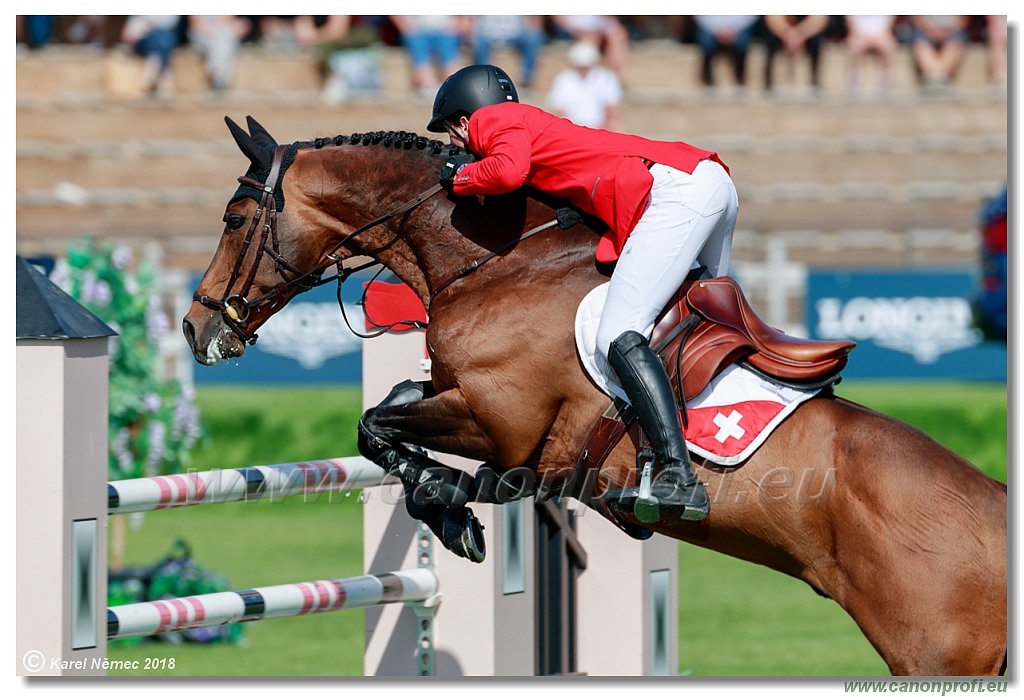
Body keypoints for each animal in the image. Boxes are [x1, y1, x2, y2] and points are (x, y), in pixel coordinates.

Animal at [184, 117, 1007, 675]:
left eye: (234, 218)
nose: (196, 328)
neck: (496, 262)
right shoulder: (469, 405)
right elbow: (389, 414)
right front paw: (453, 507)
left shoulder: (502, 423)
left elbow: (377, 424)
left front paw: (450, 505)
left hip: (934, 658)